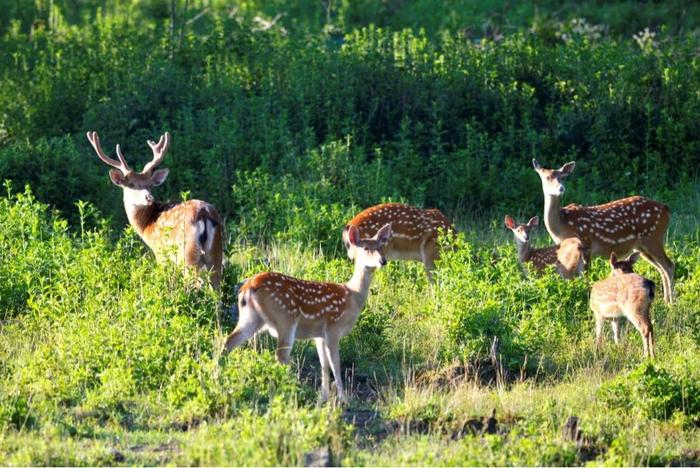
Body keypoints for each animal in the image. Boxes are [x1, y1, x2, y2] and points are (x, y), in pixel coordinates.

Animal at [87, 130, 223, 288]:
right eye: (131, 185)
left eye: (150, 184)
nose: (149, 197)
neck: (148, 225)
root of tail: (204, 215)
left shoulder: (160, 253)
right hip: (216, 252)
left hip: (186, 252)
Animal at [223, 223, 392, 402]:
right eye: (366, 248)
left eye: (380, 246)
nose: (383, 261)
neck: (352, 296)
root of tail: (248, 287)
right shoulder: (333, 327)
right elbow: (335, 363)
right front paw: (344, 398)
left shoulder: (319, 334)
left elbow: (324, 364)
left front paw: (324, 397)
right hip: (285, 318)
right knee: (281, 355)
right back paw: (291, 388)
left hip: (251, 318)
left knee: (229, 341)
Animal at [532, 159, 676, 306]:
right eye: (547, 177)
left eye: (563, 177)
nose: (561, 188)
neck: (562, 225)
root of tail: (666, 209)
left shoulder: (586, 244)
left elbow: (585, 275)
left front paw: (587, 299)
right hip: (642, 246)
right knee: (661, 268)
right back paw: (665, 301)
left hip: (654, 238)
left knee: (669, 266)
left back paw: (671, 303)